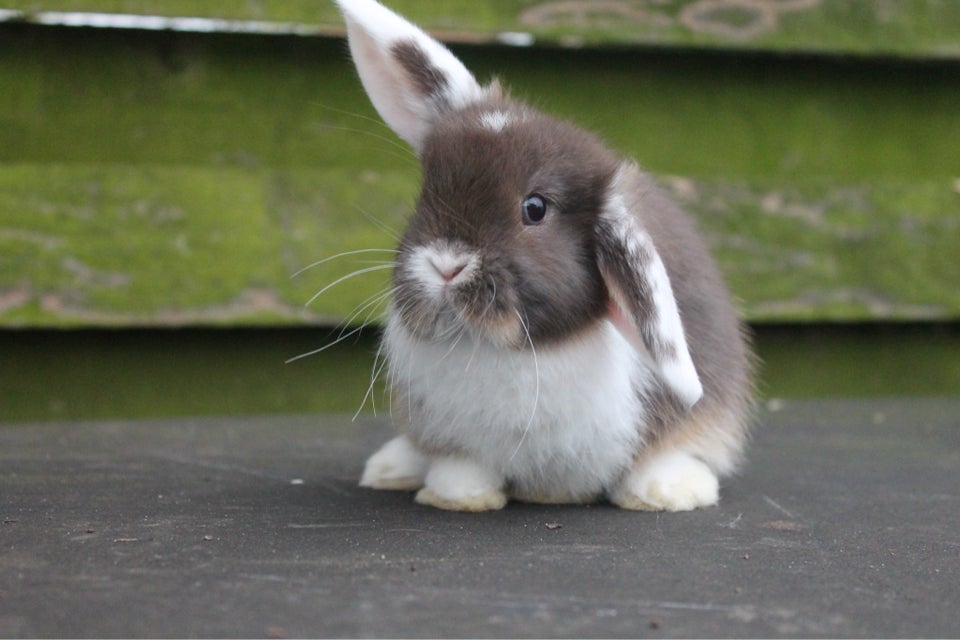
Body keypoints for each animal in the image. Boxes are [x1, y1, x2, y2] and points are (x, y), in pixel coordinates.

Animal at [334, 0, 752, 510]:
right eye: (426, 192)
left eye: (535, 209)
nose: (446, 266)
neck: (501, 349)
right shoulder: (458, 442)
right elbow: (462, 466)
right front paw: (459, 497)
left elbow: (665, 450)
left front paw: (668, 492)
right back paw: (391, 468)